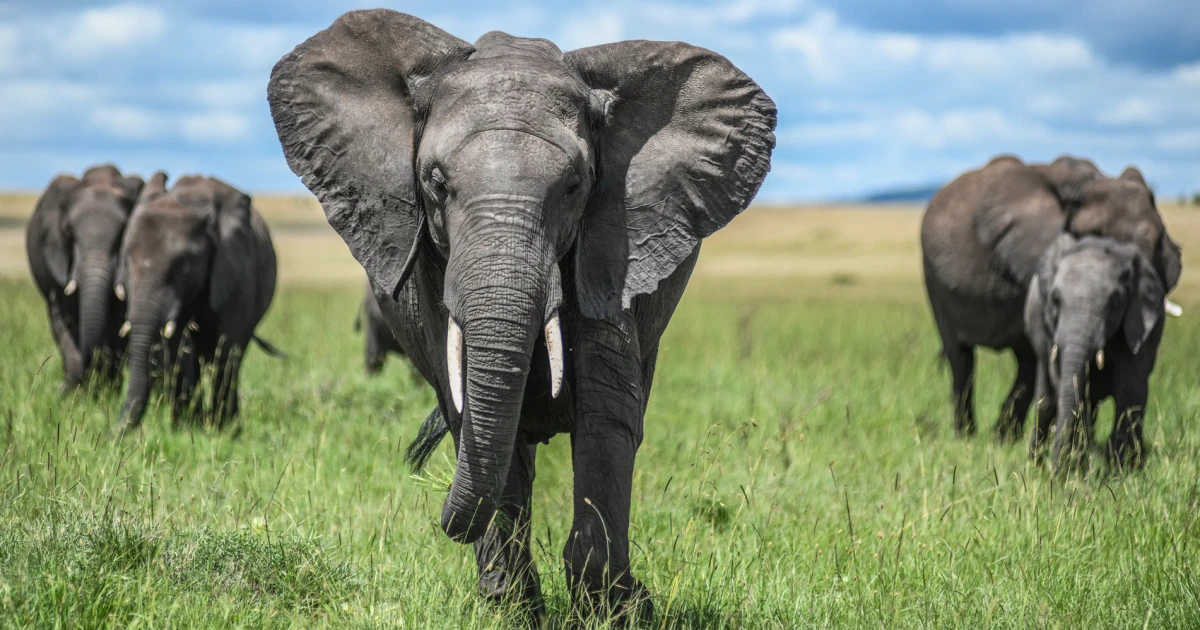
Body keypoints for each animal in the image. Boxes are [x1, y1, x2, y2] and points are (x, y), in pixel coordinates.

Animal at [25, 164, 144, 389]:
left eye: (122, 236)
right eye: (69, 234)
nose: (59, 388)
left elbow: (118, 322)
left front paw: (106, 389)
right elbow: (66, 318)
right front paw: (78, 389)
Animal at [116, 173, 280, 428]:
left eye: (182, 268)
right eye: (126, 262)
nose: (114, 432)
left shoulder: (237, 274)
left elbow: (227, 346)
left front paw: (222, 430)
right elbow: (177, 348)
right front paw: (185, 427)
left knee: (231, 355)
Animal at [268, 9, 775, 622]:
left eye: (576, 185)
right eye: (435, 182)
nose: (442, 518)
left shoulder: (611, 246)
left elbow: (607, 415)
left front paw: (618, 609)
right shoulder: (432, 271)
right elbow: (475, 414)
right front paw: (510, 608)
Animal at [921, 155, 1180, 439]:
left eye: (1159, 241)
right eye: (1095, 235)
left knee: (1025, 363)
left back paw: (1003, 438)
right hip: (935, 282)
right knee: (961, 359)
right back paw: (968, 437)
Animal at [1025, 234, 1169, 470]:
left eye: (1115, 302)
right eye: (1055, 299)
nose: (1055, 469)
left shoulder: (1139, 322)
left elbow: (1130, 389)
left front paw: (1122, 469)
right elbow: (1069, 387)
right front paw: (1077, 466)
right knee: (1045, 402)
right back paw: (1035, 463)